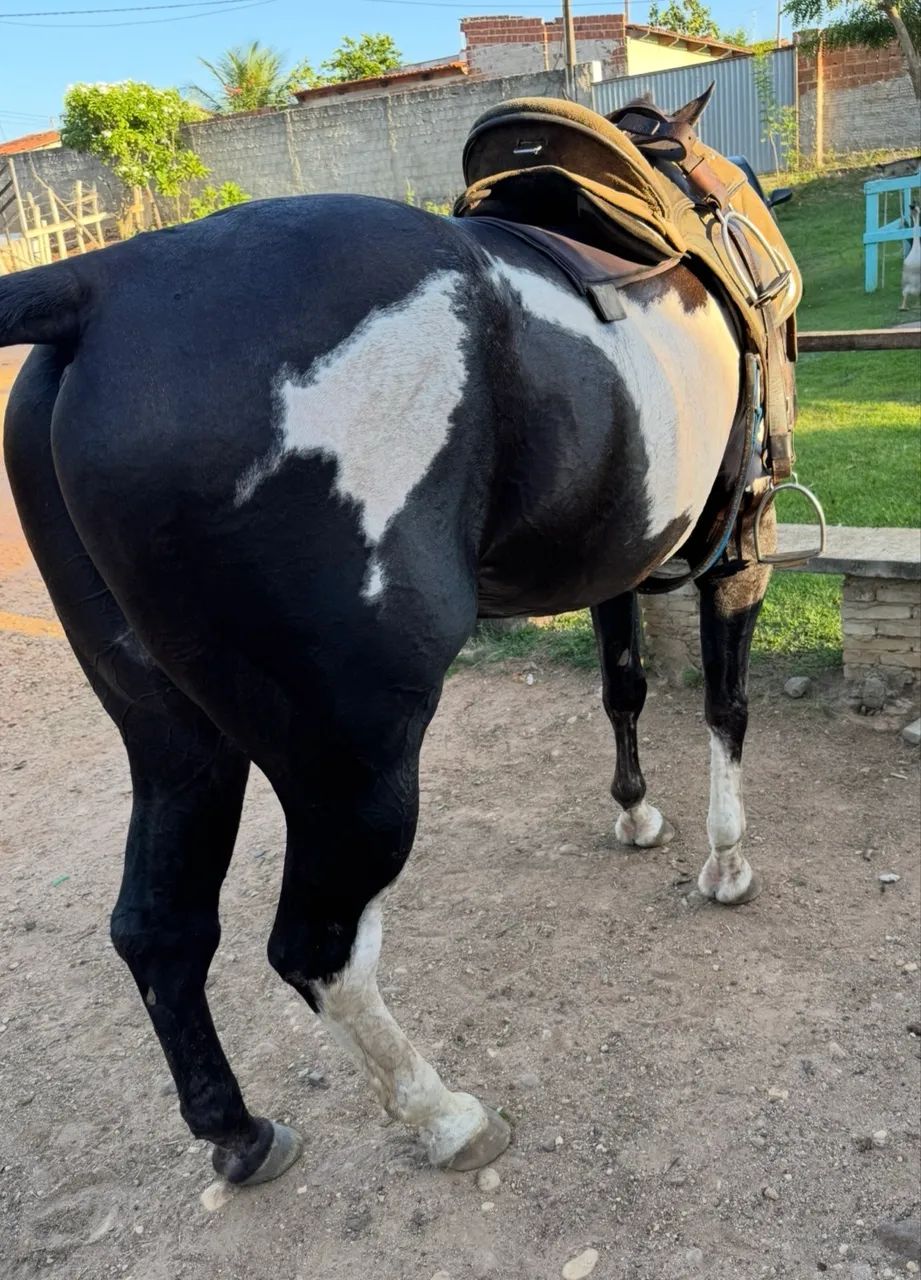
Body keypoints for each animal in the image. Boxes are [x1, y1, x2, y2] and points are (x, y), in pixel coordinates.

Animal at [0, 93, 783, 1189]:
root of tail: (98, 284)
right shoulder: (739, 548)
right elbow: (724, 705)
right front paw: (725, 863)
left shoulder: (616, 561)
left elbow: (622, 686)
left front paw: (635, 812)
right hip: (358, 761)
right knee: (312, 949)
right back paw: (442, 1114)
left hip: (174, 738)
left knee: (158, 930)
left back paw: (238, 1131)